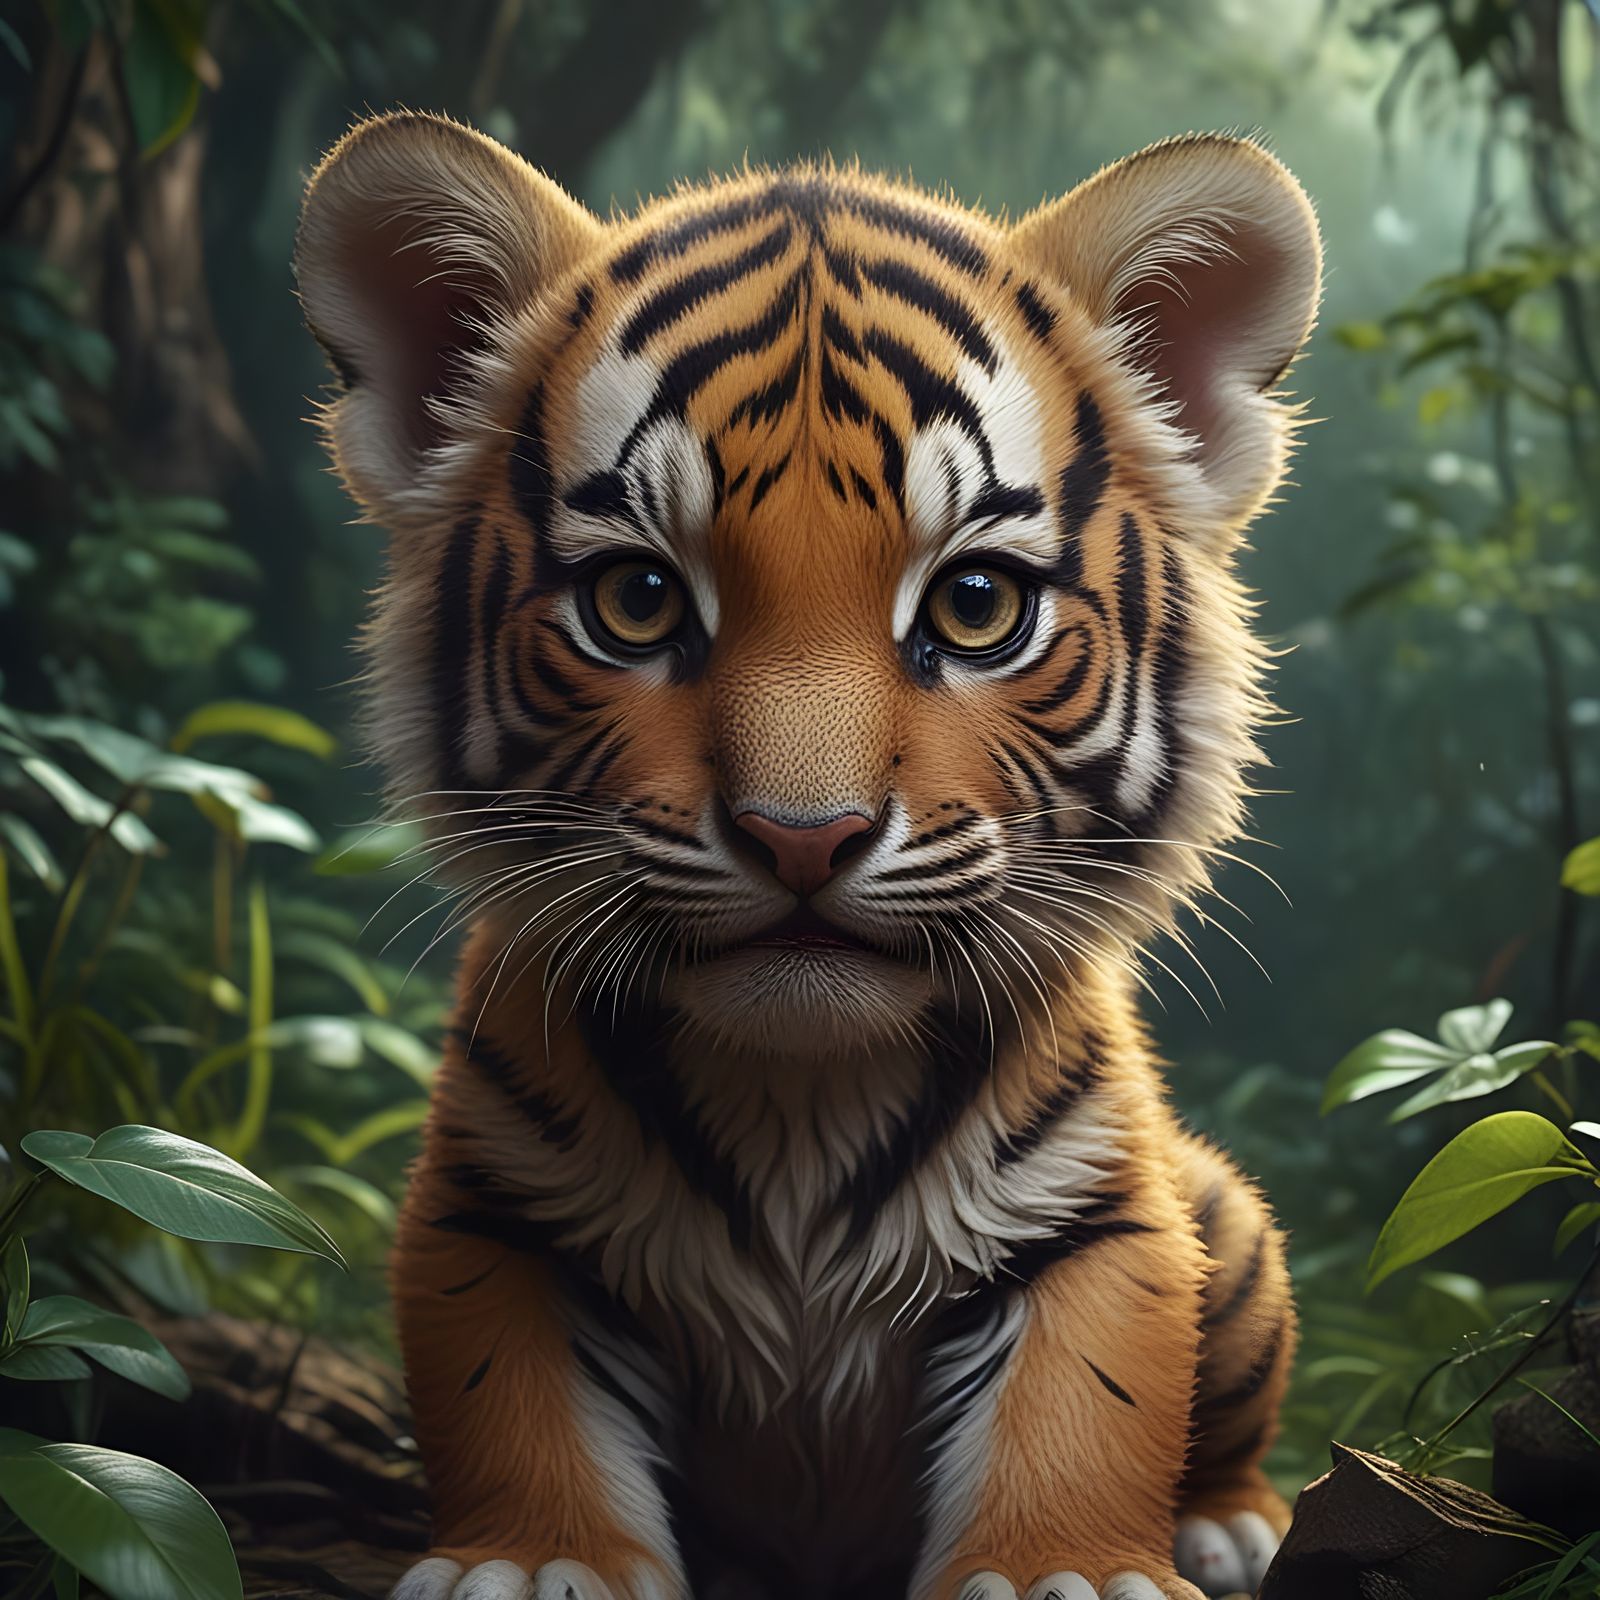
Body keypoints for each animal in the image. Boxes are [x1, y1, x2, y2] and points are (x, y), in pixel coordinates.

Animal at [293, 111, 1319, 1600]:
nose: (802, 836)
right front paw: (542, 1564)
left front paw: (1058, 1571)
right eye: (636, 598)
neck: (798, 1102)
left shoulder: (1097, 1211)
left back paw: (1233, 1523)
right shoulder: (495, 1211)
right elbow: (513, 1397)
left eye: (975, 604)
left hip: (1225, 1213)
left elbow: (1087, 1398)